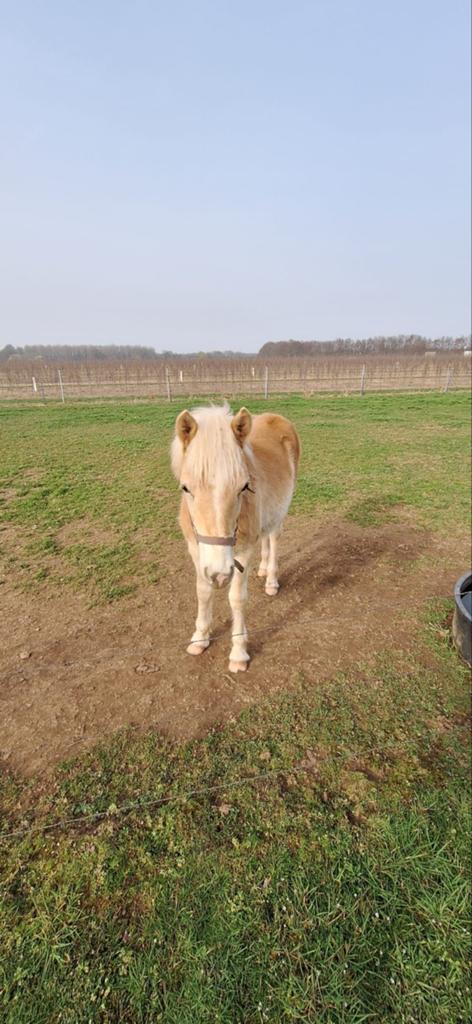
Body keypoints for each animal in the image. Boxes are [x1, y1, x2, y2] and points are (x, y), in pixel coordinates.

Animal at [171, 403, 300, 673]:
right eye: (185, 488)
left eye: (243, 486)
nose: (220, 573)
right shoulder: (196, 549)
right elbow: (203, 591)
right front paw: (200, 638)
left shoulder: (242, 553)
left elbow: (237, 599)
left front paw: (239, 653)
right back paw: (263, 569)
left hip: (281, 511)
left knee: (273, 538)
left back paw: (271, 580)